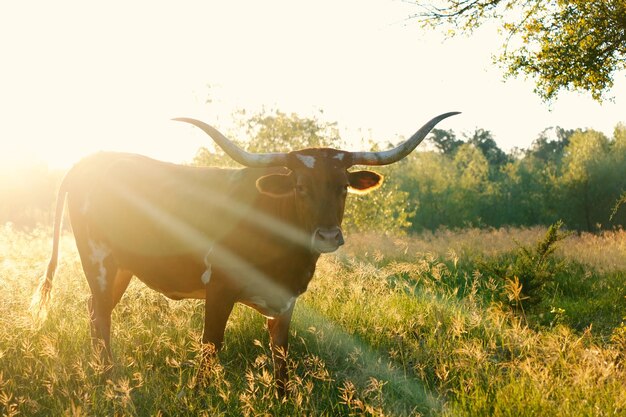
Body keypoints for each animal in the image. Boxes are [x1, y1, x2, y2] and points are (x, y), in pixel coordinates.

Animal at [30, 111, 458, 394]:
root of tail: (89, 160)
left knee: (94, 311)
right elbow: (210, 350)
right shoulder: (219, 290)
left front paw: (282, 398)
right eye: (299, 186)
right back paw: (108, 380)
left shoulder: (285, 301)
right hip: (100, 259)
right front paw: (200, 397)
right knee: (101, 316)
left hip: (122, 267)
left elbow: (281, 356)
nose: (328, 235)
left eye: (342, 186)